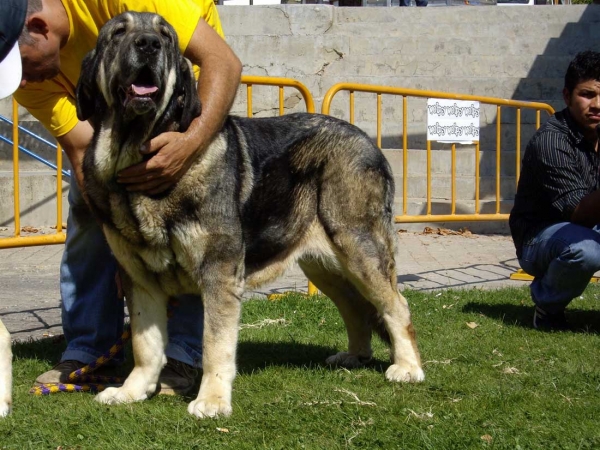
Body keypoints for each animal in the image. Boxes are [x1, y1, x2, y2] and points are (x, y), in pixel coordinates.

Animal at [74, 10, 422, 418]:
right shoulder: (140, 278)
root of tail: (369, 141)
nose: (148, 44)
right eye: (118, 33)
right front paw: (131, 391)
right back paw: (355, 356)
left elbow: (215, 344)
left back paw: (408, 367)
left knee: (396, 306)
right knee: (356, 307)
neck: (138, 154)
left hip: (359, 248)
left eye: (166, 36)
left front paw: (211, 400)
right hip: (323, 264)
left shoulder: (219, 273)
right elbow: (146, 346)